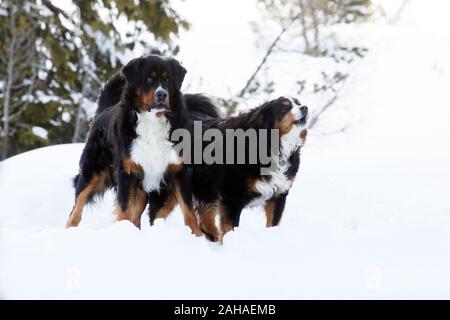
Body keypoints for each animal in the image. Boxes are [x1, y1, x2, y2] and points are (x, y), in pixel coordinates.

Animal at [65, 53, 220, 231]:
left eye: (167, 79)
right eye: (149, 79)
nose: (162, 94)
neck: (153, 120)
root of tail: (103, 110)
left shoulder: (178, 170)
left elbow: (189, 211)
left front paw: (196, 234)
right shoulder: (126, 170)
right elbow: (124, 209)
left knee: (137, 216)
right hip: (92, 171)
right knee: (77, 206)